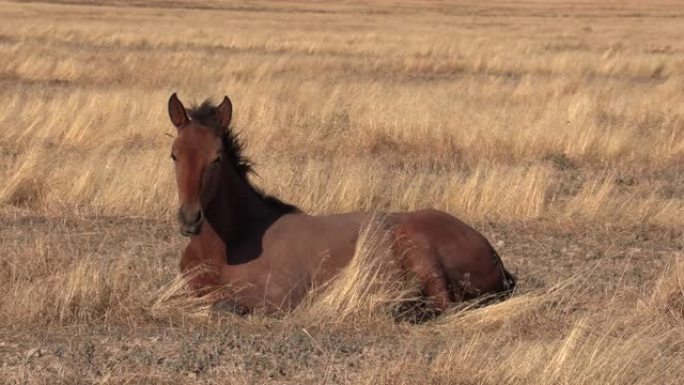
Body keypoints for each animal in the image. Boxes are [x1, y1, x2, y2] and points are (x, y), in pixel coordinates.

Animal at [168, 91, 516, 316]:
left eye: (217, 158)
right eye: (174, 155)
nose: (189, 220)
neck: (231, 245)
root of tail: (494, 255)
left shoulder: (280, 298)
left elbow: (226, 306)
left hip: (419, 247)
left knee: (445, 305)